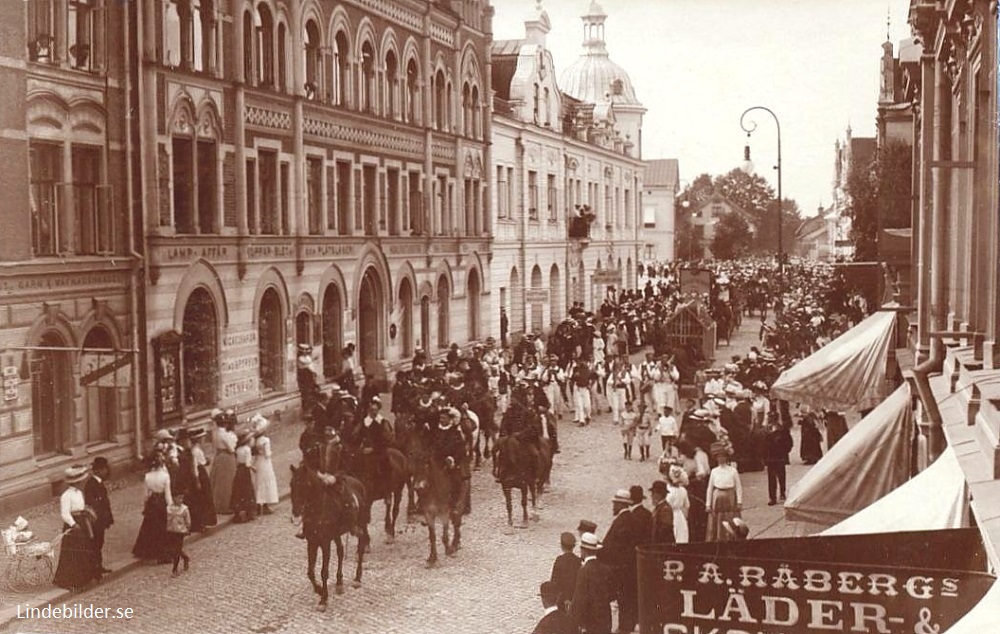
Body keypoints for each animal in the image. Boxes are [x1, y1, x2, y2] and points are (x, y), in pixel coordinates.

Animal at [290, 462, 372, 604]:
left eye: (304, 485)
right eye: (291, 485)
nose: (296, 511)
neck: (317, 510)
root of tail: (358, 482)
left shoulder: (325, 543)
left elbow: (324, 571)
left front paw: (323, 599)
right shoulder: (312, 542)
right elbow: (310, 572)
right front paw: (318, 590)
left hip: (361, 525)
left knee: (361, 545)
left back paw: (357, 578)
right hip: (336, 534)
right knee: (340, 551)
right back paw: (339, 582)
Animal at [408, 424, 466, 564]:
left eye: (426, 463)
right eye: (413, 463)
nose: (419, 487)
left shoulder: (444, 511)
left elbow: (444, 534)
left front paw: (449, 550)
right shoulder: (429, 513)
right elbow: (432, 536)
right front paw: (432, 557)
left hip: (460, 501)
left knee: (457, 520)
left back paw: (455, 543)